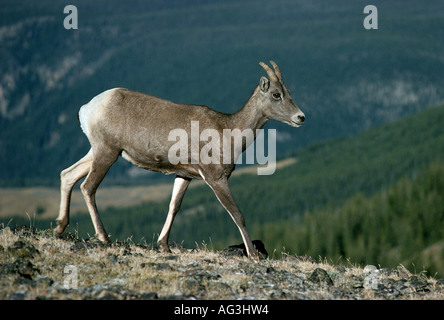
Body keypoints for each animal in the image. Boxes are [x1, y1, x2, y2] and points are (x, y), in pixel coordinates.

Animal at [53, 61, 306, 262]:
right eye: (276, 94)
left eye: (288, 92)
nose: (300, 118)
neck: (227, 130)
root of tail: (88, 108)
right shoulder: (216, 178)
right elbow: (237, 214)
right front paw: (253, 255)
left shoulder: (184, 175)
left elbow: (174, 207)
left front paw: (164, 246)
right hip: (107, 153)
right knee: (88, 187)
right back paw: (103, 237)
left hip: (97, 152)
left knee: (68, 175)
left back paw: (59, 227)